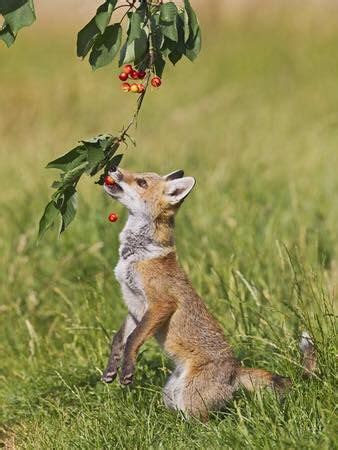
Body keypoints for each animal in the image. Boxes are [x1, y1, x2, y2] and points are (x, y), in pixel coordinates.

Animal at [101, 167, 316, 420]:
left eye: (141, 182)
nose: (112, 169)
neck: (137, 255)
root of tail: (235, 370)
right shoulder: (135, 307)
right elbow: (120, 339)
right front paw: (112, 368)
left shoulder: (161, 304)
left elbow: (133, 339)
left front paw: (127, 369)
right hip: (170, 394)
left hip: (189, 398)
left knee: (206, 422)